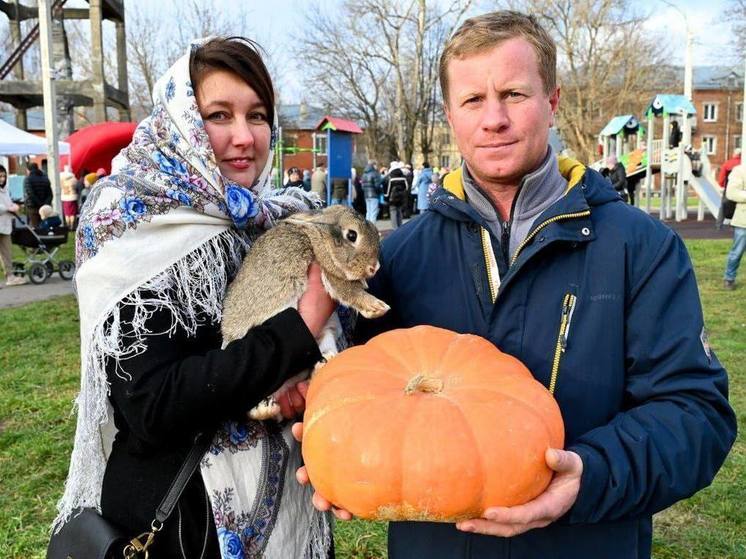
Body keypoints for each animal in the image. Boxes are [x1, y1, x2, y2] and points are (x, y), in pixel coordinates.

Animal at [219, 205, 390, 420]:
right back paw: (264, 409)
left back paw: (323, 363)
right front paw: (377, 307)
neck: (319, 236)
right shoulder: (328, 271)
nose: (374, 267)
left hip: (326, 336)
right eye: (352, 235)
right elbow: (347, 290)